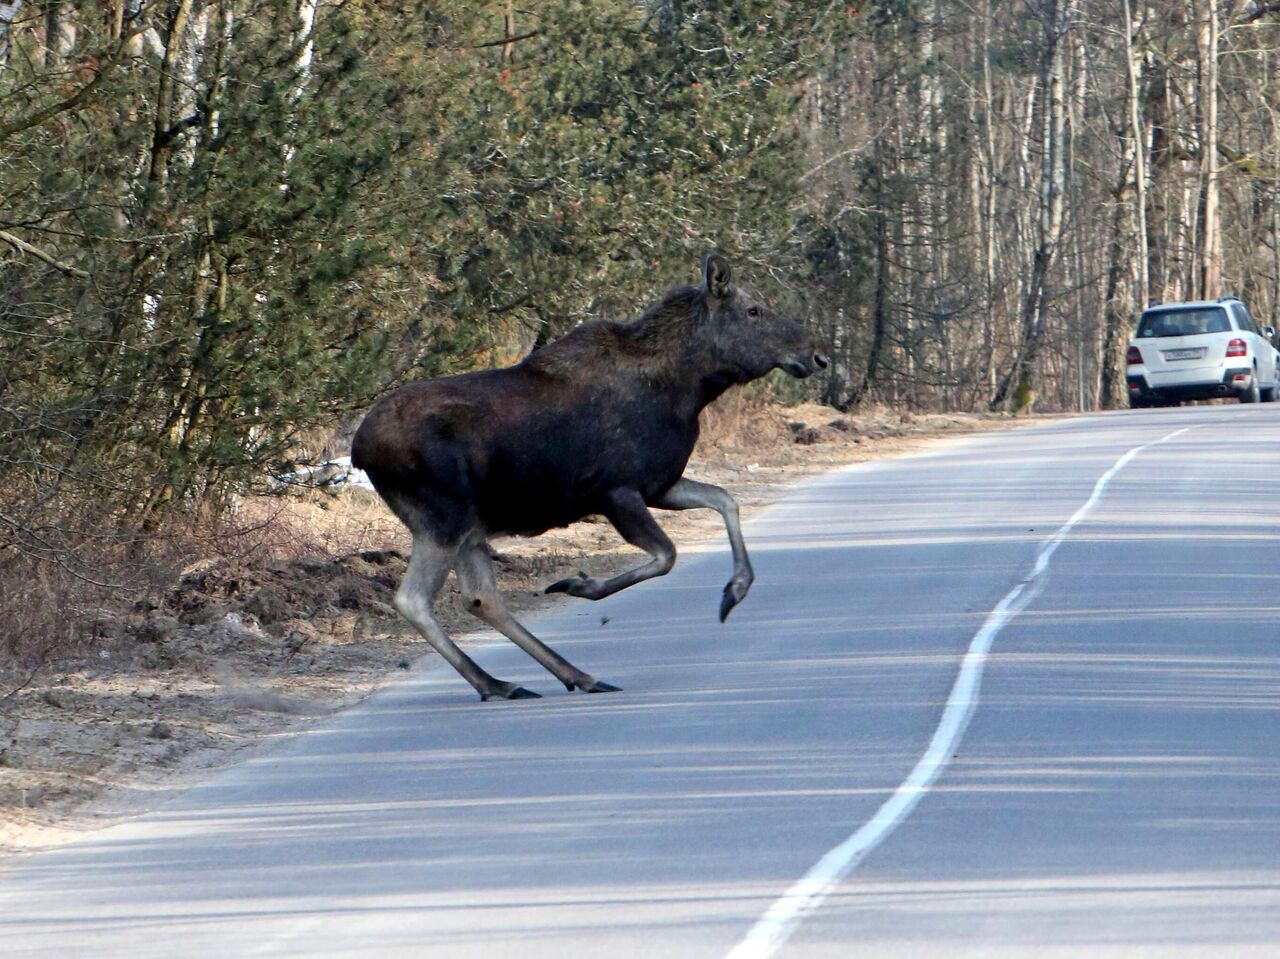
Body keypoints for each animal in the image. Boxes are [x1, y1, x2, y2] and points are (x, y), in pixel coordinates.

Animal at [350, 252, 829, 701]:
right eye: (753, 311)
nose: (818, 356)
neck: (691, 390)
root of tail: (358, 450)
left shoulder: (660, 485)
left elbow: (726, 499)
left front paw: (735, 590)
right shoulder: (617, 491)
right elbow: (667, 555)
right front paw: (580, 585)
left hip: (468, 524)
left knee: (483, 598)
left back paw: (557, 677)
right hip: (444, 517)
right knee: (415, 599)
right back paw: (498, 681)